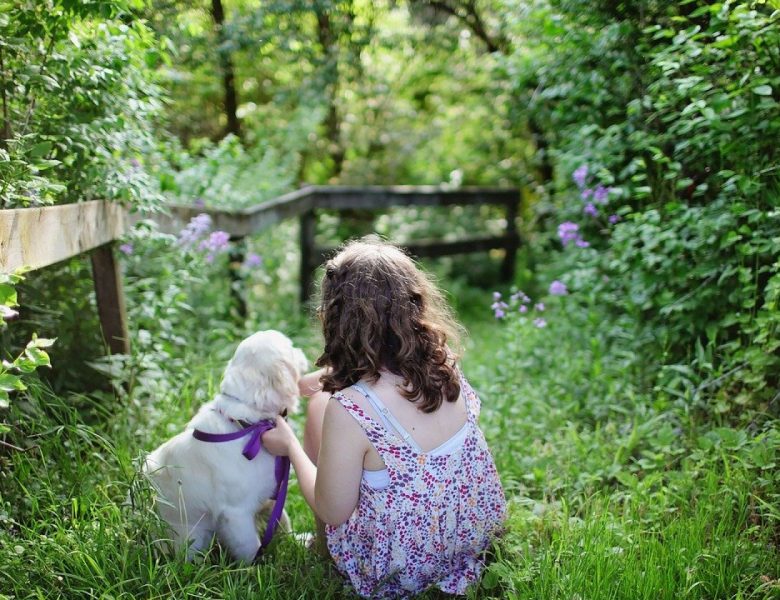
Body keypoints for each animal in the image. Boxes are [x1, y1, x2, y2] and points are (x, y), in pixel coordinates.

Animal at [145, 328, 306, 564]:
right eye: (290, 347)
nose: (301, 350)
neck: (248, 426)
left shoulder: (269, 494)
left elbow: (282, 519)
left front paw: (298, 540)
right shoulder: (236, 513)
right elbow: (250, 546)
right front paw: (256, 568)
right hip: (191, 537)